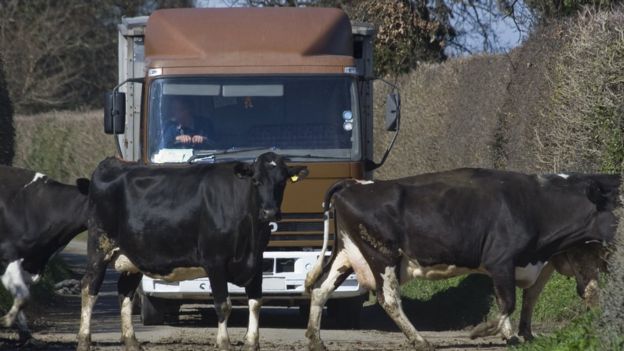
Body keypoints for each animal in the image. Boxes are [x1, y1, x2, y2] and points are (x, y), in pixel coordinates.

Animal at [78, 153, 308, 351]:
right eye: (256, 181)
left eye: (282, 182)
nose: (270, 212)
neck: (249, 231)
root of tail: (112, 163)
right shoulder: (215, 261)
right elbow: (223, 304)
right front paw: (224, 343)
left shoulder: (257, 260)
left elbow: (255, 302)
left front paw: (252, 343)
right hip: (100, 247)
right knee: (89, 287)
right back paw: (84, 340)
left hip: (134, 256)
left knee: (125, 292)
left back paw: (132, 342)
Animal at [304, 169, 620, 350]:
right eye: (615, 207)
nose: (616, 243)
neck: (538, 204)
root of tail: (354, 184)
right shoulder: (501, 260)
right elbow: (509, 302)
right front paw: (486, 331)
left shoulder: (536, 261)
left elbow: (526, 297)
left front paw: (518, 335)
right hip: (383, 256)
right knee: (389, 299)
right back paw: (420, 341)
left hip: (348, 254)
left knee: (320, 290)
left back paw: (316, 340)